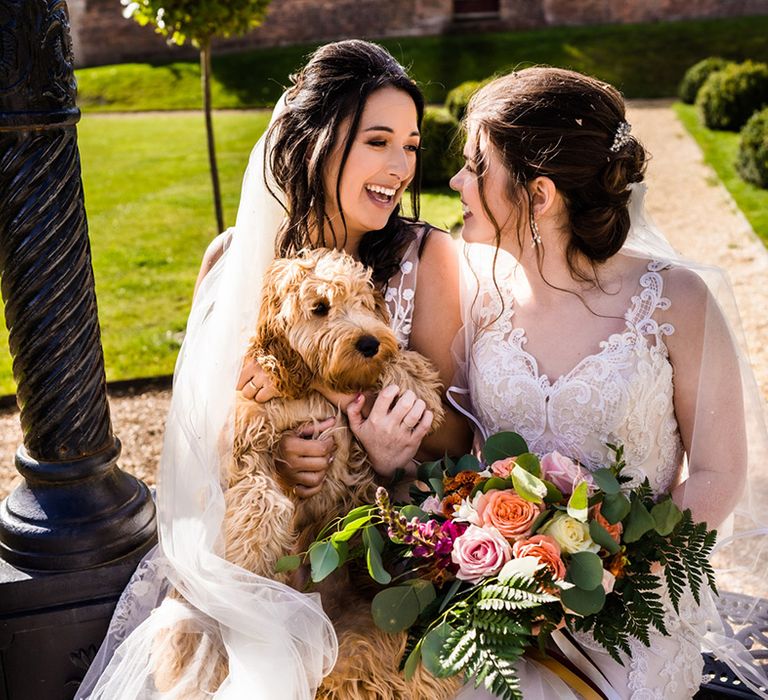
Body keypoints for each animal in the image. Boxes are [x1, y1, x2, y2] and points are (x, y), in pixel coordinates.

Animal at [153, 249, 460, 696]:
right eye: (319, 308)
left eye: (363, 302)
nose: (369, 343)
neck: (311, 385)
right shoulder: (243, 444)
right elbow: (261, 497)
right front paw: (249, 561)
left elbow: (402, 362)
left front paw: (415, 386)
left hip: (370, 630)